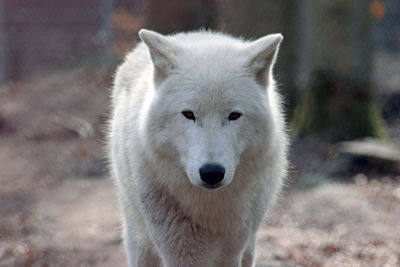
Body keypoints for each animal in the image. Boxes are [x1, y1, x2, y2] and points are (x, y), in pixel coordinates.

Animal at [109, 29, 290, 267]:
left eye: (234, 115)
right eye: (188, 114)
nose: (212, 173)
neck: (208, 208)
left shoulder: (232, 251)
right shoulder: (179, 251)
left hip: (249, 243)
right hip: (140, 239)